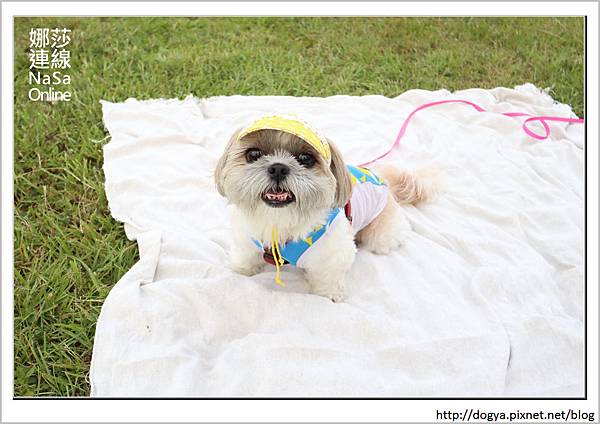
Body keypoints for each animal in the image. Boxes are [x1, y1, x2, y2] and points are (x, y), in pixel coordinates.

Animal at [213, 115, 438, 302]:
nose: (278, 167)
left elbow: (328, 276)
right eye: (253, 154)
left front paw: (328, 295)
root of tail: (382, 178)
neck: (280, 221)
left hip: (381, 233)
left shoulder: (334, 254)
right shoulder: (246, 237)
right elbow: (245, 255)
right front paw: (241, 270)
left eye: (305, 159)